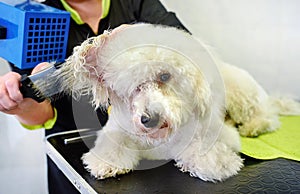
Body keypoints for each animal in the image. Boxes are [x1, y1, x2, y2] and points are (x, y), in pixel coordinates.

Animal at [48, 23, 298, 182]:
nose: (149, 119)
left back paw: (253, 127)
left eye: (165, 76)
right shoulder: (118, 129)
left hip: (241, 94)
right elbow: (113, 144)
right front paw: (106, 163)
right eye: (133, 85)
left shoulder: (215, 134)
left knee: (267, 117)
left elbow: (204, 150)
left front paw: (214, 164)